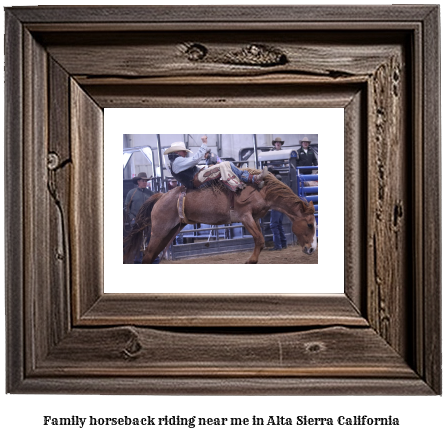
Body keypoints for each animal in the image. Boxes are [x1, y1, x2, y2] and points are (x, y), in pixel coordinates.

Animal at [125, 174, 318, 264]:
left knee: (152, 256)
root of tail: (161, 196)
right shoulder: (245, 216)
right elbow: (260, 239)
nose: (311, 249)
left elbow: (260, 239)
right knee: (147, 255)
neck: (261, 189)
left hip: (170, 231)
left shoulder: (254, 218)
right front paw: (251, 260)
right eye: (309, 224)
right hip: (160, 230)